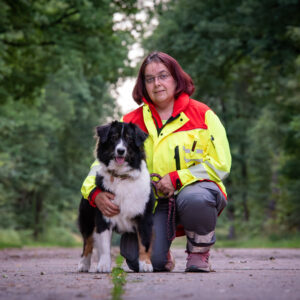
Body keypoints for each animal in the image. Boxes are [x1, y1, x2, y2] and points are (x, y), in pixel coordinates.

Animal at [77, 120, 155, 274]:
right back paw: (83, 264)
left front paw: (145, 264)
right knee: (87, 241)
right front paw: (103, 265)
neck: (121, 176)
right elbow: (105, 246)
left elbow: (144, 243)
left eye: (129, 139)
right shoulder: (103, 216)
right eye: (113, 137)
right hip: (87, 219)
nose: (120, 151)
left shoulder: (144, 217)